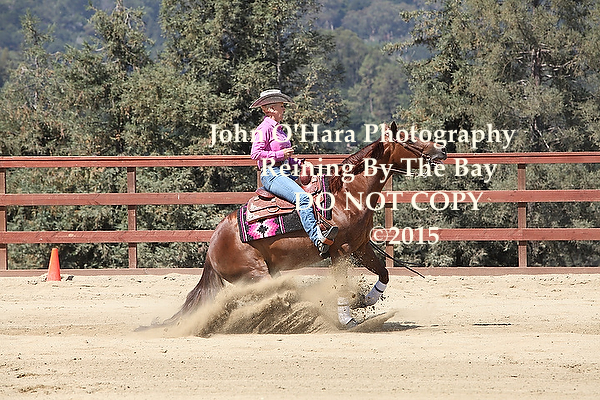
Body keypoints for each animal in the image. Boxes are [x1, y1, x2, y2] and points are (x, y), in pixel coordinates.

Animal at [169, 122, 447, 327]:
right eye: (409, 140)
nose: (441, 151)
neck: (347, 195)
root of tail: (213, 246)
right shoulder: (340, 251)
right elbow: (341, 285)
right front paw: (347, 319)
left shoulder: (361, 247)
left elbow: (384, 273)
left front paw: (365, 299)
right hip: (255, 275)